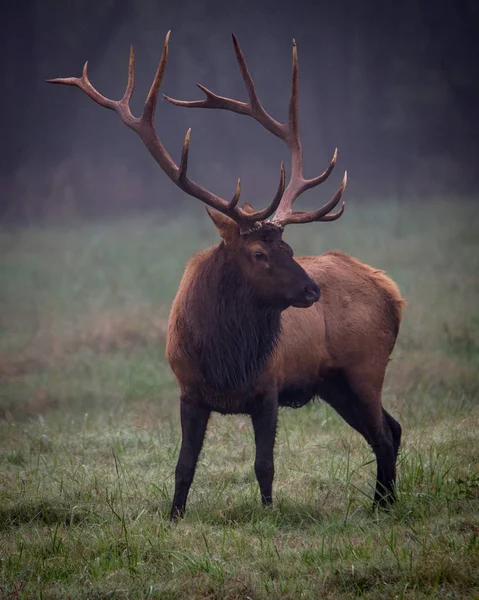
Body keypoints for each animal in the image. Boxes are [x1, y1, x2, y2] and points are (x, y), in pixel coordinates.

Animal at [49, 30, 404, 516]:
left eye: (289, 247)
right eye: (258, 252)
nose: (311, 290)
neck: (225, 361)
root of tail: (391, 291)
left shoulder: (269, 389)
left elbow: (264, 465)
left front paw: (269, 514)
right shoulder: (188, 391)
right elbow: (184, 465)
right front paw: (174, 517)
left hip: (365, 366)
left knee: (385, 434)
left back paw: (382, 507)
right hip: (336, 383)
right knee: (391, 429)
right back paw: (384, 502)